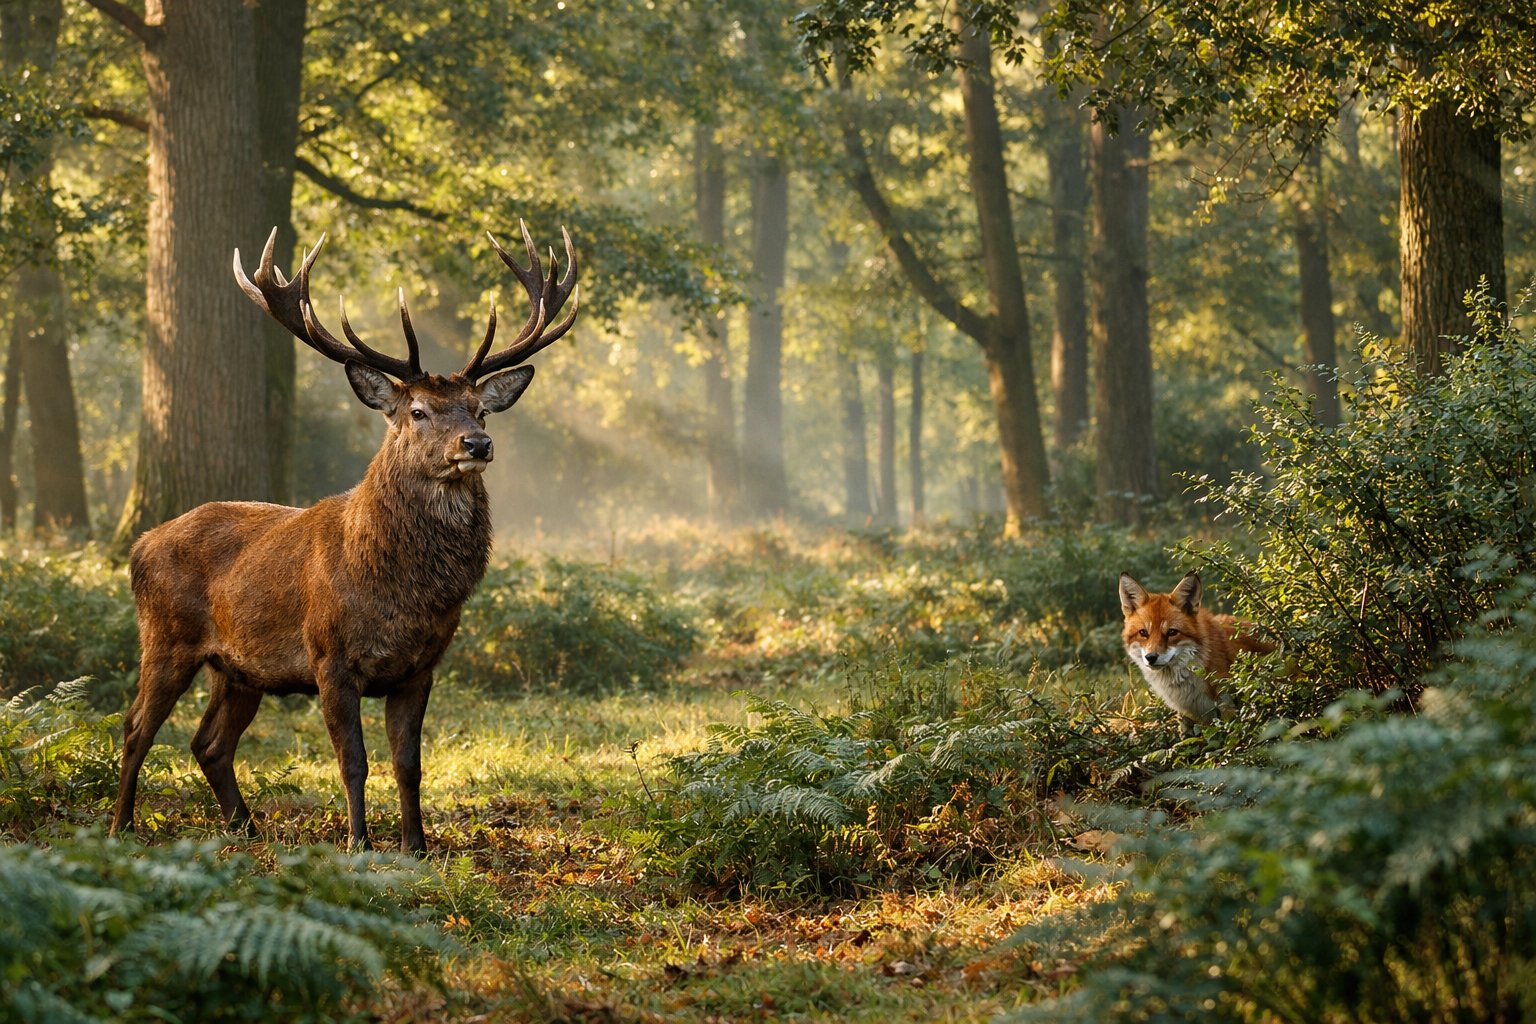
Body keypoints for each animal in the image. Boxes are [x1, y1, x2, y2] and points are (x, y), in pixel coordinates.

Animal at [109, 221, 577, 853]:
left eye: (480, 409)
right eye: (418, 412)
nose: (477, 444)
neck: (401, 594)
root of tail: (140, 544)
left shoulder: (421, 667)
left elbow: (409, 764)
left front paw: (416, 847)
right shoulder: (329, 656)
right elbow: (353, 760)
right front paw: (359, 843)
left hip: (238, 669)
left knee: (209, 742)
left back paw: (248, 827)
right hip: (166, 637)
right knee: (135, 727)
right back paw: (121, 826)